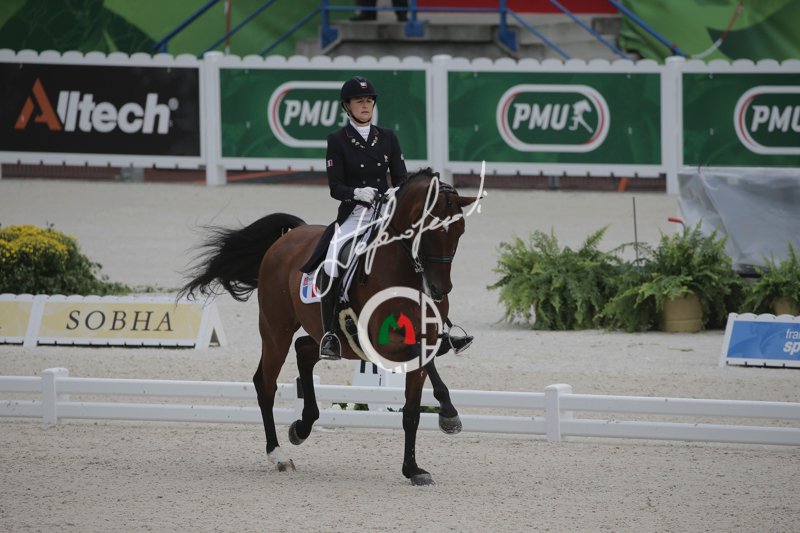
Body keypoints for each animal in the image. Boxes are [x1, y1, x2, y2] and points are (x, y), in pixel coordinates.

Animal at [179, 168, 478, 485]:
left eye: (460, 230)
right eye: (430, 229)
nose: (439, 289)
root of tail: (290, 236)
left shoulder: (425, 339)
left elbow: (411, 411)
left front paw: (414, 468)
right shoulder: (384, 343)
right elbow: (423, 365)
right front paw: (450, 415)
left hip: (331, 338)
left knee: (304, 350)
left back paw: (302, 426)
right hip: (275, 330)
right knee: (266, 383)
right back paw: (279, 455)